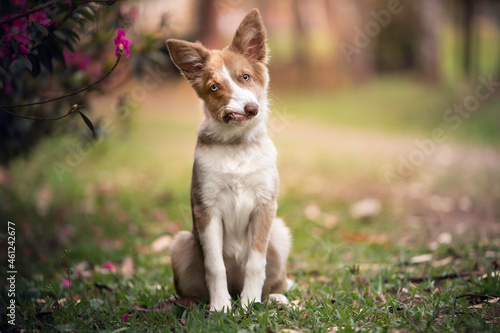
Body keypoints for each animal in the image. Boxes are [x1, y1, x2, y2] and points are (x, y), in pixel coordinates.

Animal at [166, 8, 292, 312]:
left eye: (245, 77)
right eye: (214, 87)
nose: (251, 108)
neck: (236, 147)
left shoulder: (265, 206)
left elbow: (256, 264)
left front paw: (249, 304)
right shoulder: (206, 208)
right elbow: (214, 265)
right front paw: (220, 307)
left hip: (280, 233)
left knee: (272, 281)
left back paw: (273, 298)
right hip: (181, 243)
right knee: (194, 288)